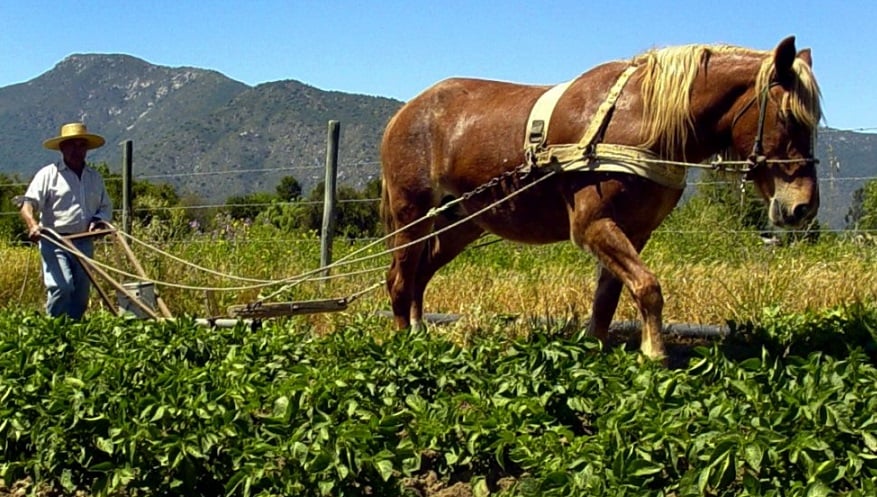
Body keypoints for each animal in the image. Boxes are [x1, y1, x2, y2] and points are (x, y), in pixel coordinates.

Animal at [378, 36, 820, 358]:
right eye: (788, 116)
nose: (803, 207)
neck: (642, 119)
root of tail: (405, 113)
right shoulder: (592, 224)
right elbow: (648, 286)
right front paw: (654, 354)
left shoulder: (633, 231)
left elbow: (609, 297)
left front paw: (595, 347)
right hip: (412, 212)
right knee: (399, 278)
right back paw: (404, 342)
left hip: (462, 222)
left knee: (419, 274)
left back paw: (420, 331)